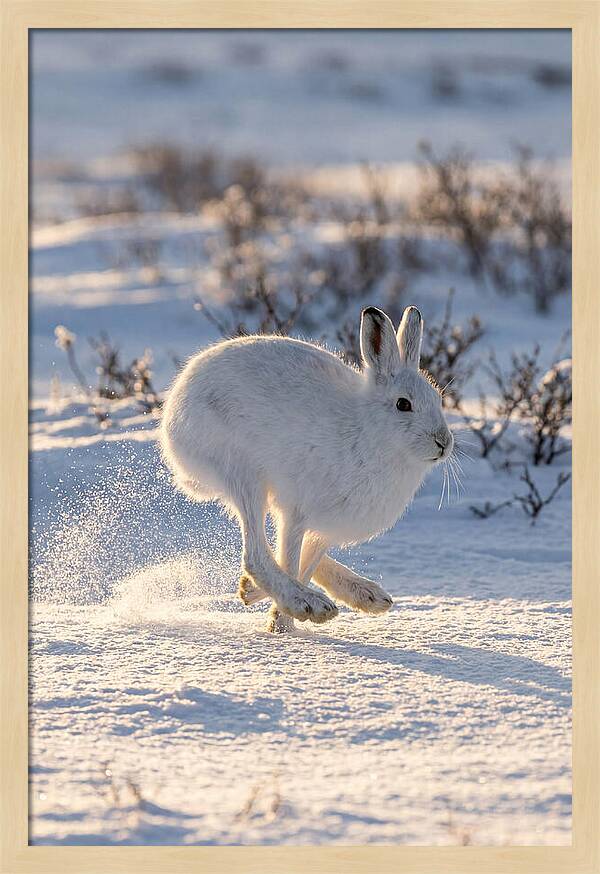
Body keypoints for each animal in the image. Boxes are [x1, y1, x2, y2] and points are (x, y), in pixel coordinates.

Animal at [160, 305, 453, 633]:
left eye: (438, 398)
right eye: (403, 404)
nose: (444, 442)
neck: (368, 433)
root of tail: (173, 411)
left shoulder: (325, 527)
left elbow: (305, 562)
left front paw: (273, 613)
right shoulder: (298, 511)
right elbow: (290, 559)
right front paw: (284, 624)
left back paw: (365, 595)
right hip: (242, 473)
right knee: (256, 554)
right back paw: (307, 602)